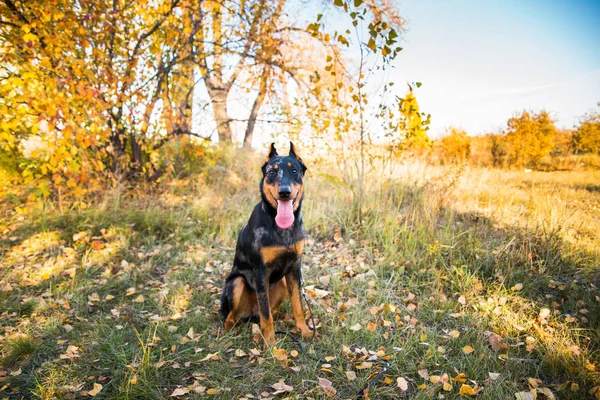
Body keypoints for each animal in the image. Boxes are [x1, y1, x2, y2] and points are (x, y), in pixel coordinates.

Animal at [220, 142, 314, 346]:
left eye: (294, 171)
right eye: (272, 171)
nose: (285, 192)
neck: (282, 227)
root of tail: (249, 315)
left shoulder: (294, 268)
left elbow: (298, 305)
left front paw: (303, 330)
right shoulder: (261, 271)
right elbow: (266, 314)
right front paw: (271, 344)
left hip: (281, 284)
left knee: (271, 310)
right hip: (236, 283)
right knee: (231, 317)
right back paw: (227, 334)